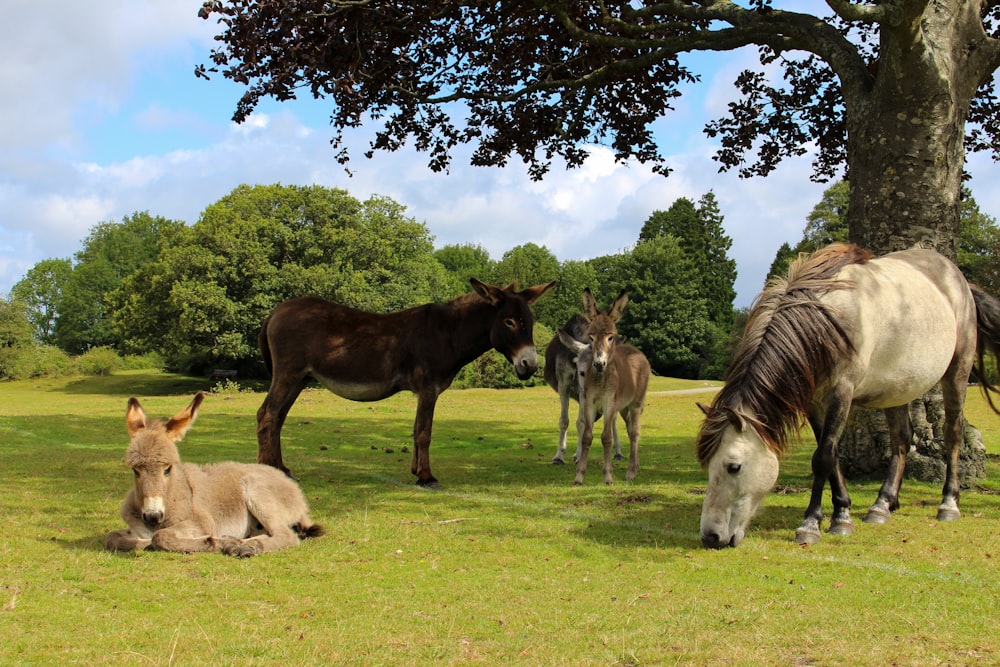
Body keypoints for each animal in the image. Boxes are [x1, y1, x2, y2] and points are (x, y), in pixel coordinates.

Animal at [105, 392, 324, 560]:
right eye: (135, 470)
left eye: (168, 469)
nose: (152, 516)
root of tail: (291, 485)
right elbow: (113, 538)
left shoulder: (202, 522)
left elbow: (160, 537)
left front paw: (215, 541)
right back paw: (241, 543)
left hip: (257, 493)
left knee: (286, 535)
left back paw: (247, 547)